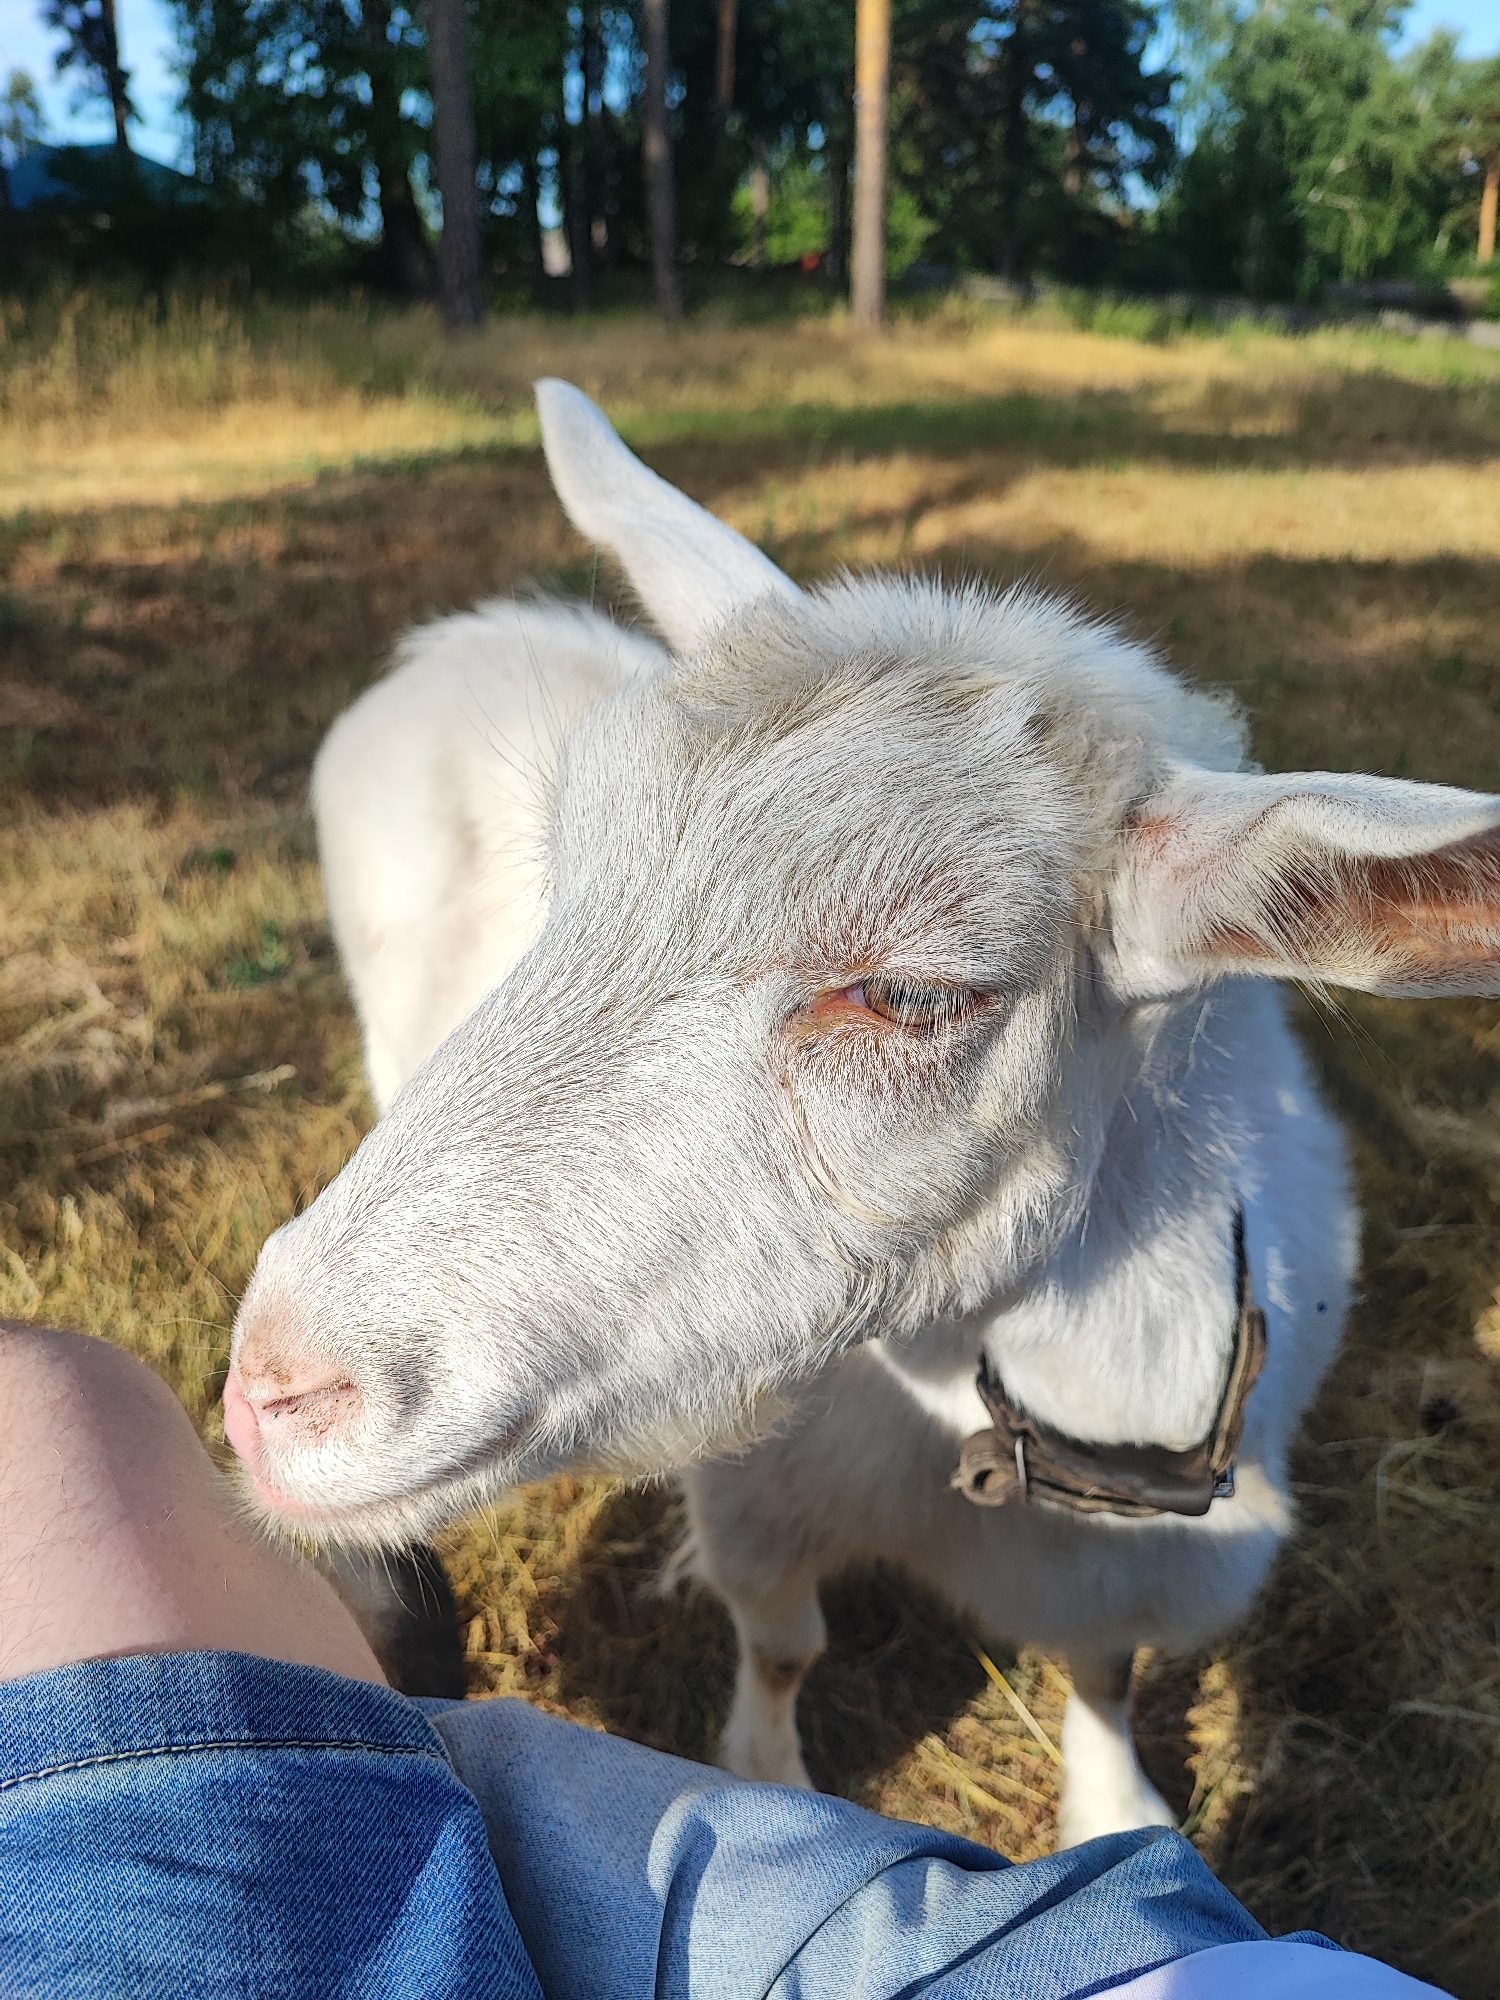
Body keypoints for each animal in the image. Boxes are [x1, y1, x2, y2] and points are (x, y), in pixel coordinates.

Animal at [225, 381, 1500, 1842]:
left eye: (912, 992)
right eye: (568, 885)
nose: (272, 1390)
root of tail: (454, 636)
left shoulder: (1127, 1574)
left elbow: (1102, 1674)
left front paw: (1115, 1809)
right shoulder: (764, 1501)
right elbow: (784, 1647)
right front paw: (767, 1775)